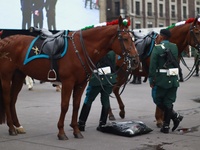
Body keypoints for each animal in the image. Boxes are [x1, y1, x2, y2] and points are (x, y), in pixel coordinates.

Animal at [0, 17, 139, 140]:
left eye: (133, 39)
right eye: (125, 39)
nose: (135, 60)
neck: (80, 49)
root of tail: (5, 41)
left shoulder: (81, 84)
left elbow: (76, 105)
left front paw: (76, 130)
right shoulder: (68, 82)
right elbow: (65, 105)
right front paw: (61, 132)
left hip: (18, 76)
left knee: (13, 100)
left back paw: (18, 126)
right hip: (6, 77)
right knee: (7, 100)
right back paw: (11, 128)